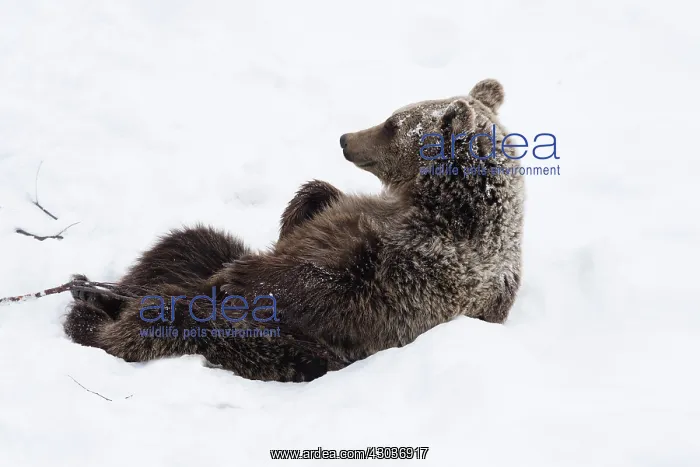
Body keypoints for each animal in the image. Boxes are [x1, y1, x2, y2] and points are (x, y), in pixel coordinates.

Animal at [64, 78, 524, 382]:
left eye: (392, 123)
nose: (345, 138)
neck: (435, 202)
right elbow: (316, 202)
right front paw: (297, 213)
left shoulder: (416, 274)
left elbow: (330, 289)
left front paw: (240, 277)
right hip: (198, 262)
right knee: (185, 245)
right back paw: (95, 291)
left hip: (270, 343)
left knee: (169, 317)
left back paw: (100, 316)